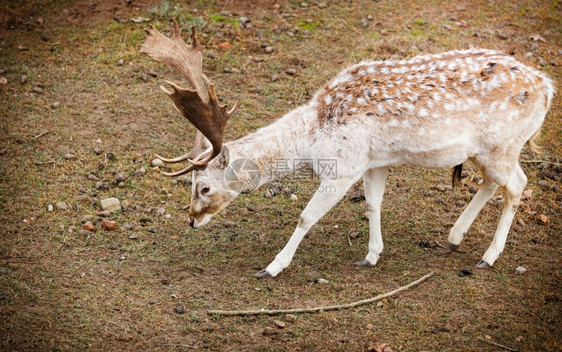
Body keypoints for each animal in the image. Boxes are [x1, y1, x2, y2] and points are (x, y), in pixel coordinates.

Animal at [140, 20, 552, 278]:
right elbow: (373, 204)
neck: (311, 138)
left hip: (503, 144)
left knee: (518, 183)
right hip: (487, 152)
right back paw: (454, 238)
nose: (192, 220)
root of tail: (548, 87)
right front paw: (371, 256)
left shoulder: (343, 167)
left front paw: (272, 267)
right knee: (493, 182)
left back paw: (488, 257)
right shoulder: (373, 162)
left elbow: (306, 216)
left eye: (204, 187)